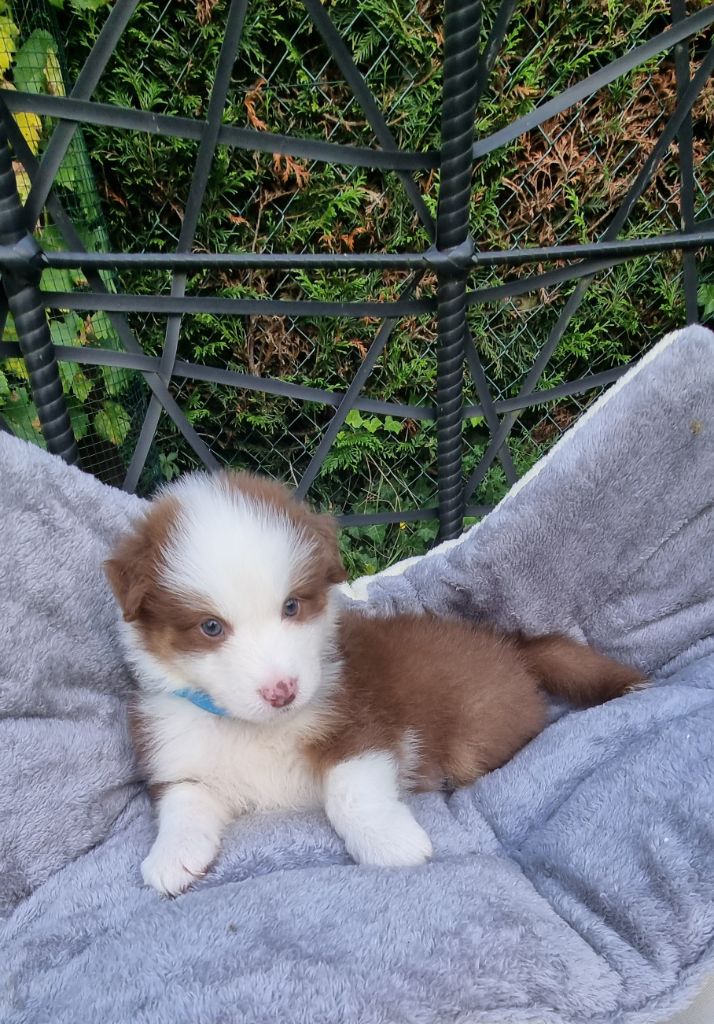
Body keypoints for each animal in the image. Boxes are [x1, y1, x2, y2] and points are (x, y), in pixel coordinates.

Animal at [105, 470, 645, 896]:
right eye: (210, 627)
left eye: (291, 606)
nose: (283, 691)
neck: (255, 728)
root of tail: (512, 645)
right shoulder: (178, 752)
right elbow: (182, 802)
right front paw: (170, 857)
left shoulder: (360, 722)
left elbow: (349, 790)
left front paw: (390, 842)